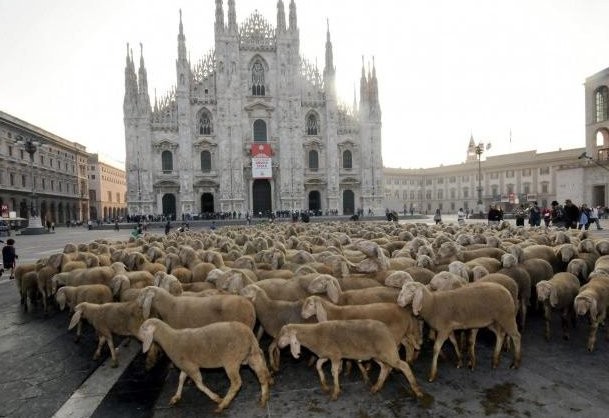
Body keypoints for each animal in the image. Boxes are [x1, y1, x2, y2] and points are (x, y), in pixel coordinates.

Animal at [139, 320, 272, 412]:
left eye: (143, 329)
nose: (139, 338)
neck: (170, 340)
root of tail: (249, 334)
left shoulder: (191, 367)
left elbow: (199, 384)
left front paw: (216, 398)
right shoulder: (186, 365)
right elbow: (181, 379)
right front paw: (176, 397)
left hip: (231, 360)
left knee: (236, 382)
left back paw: (222, 404)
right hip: (252, 355)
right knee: (262, 374)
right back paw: (264, 397)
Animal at [276, 322, 422, 400]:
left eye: (285, 334)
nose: (279, 345)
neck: (315, 336)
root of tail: (387, 330)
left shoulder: (335, 355)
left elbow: (334, 372)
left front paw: (335, 392)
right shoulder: (326, 355)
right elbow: (318, 365)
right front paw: (325, 385)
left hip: (387, 352)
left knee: (403, 366)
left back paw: (417, 390)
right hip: (377, 355)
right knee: (385, 367)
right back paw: (376, 387)